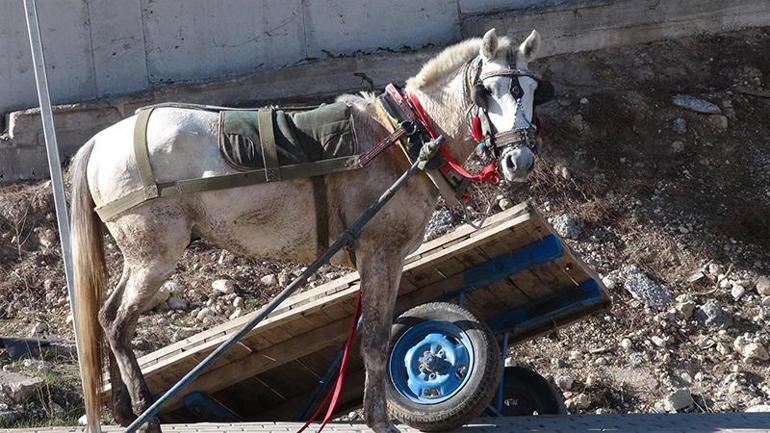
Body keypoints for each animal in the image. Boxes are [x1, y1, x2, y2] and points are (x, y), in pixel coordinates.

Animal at [69, 28, 544, 430]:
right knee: (117, 323)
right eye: (487, 90)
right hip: (155, 255)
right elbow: (375, 338)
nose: (519, 161)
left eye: (532, 89)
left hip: (140, 258)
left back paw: (123, 409)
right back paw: (145, 415)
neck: (401, 138)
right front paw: (379, 419)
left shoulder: (388, 259)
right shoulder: (379, 252)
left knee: (108, 315)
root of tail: (100, 141)